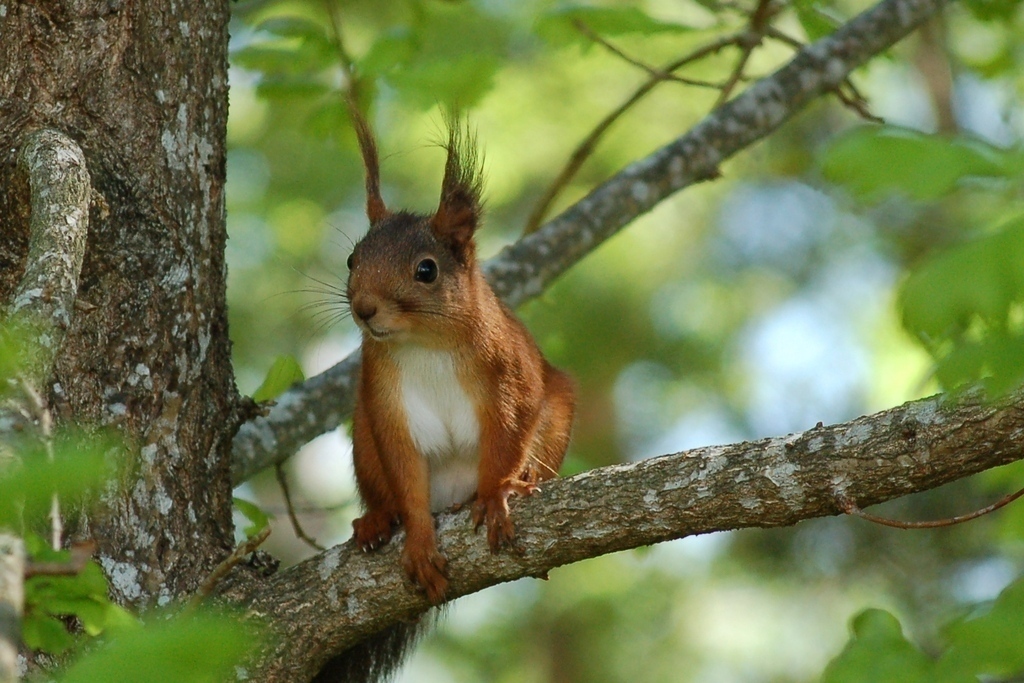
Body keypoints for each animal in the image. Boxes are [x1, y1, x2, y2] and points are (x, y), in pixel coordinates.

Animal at [343, 110, 576, 604]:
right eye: (352, 260)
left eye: (426, 270)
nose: (364, 308)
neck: (426, 346)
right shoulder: (385, 400)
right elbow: (404, 470)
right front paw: (417, 539)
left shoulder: (510, 374)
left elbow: (509, 434)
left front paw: (495, 495)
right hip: (363, 440)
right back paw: (377, 519)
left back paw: (524, 479)